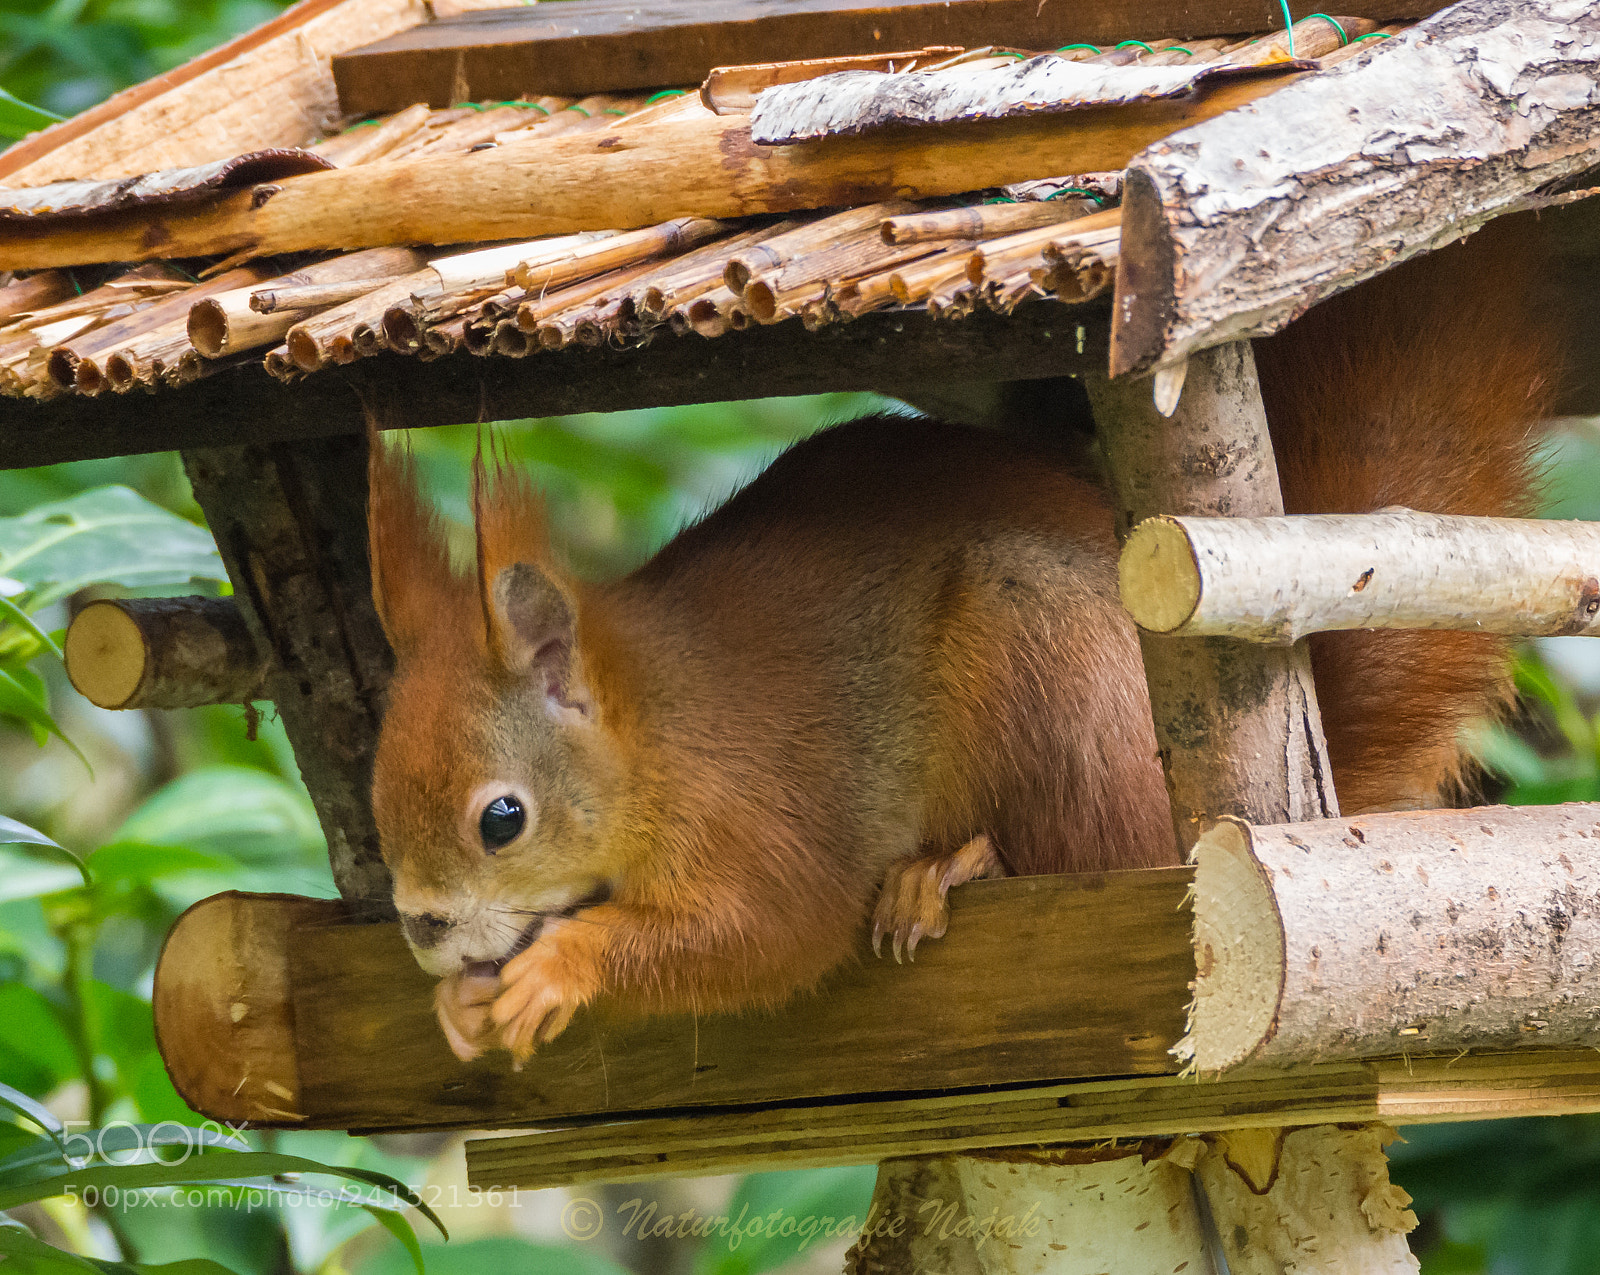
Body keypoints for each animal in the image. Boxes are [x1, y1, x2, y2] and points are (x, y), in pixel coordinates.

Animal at [366, 218, 1559, 1062]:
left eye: (502, 819)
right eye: (375, 804)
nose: (421, 931)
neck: (649, 732)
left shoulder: (763, 806)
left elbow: (769, 933)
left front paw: (555, 967)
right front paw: (460, 1009)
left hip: (1039, 647)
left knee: (1100, 850)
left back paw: (955, 866)